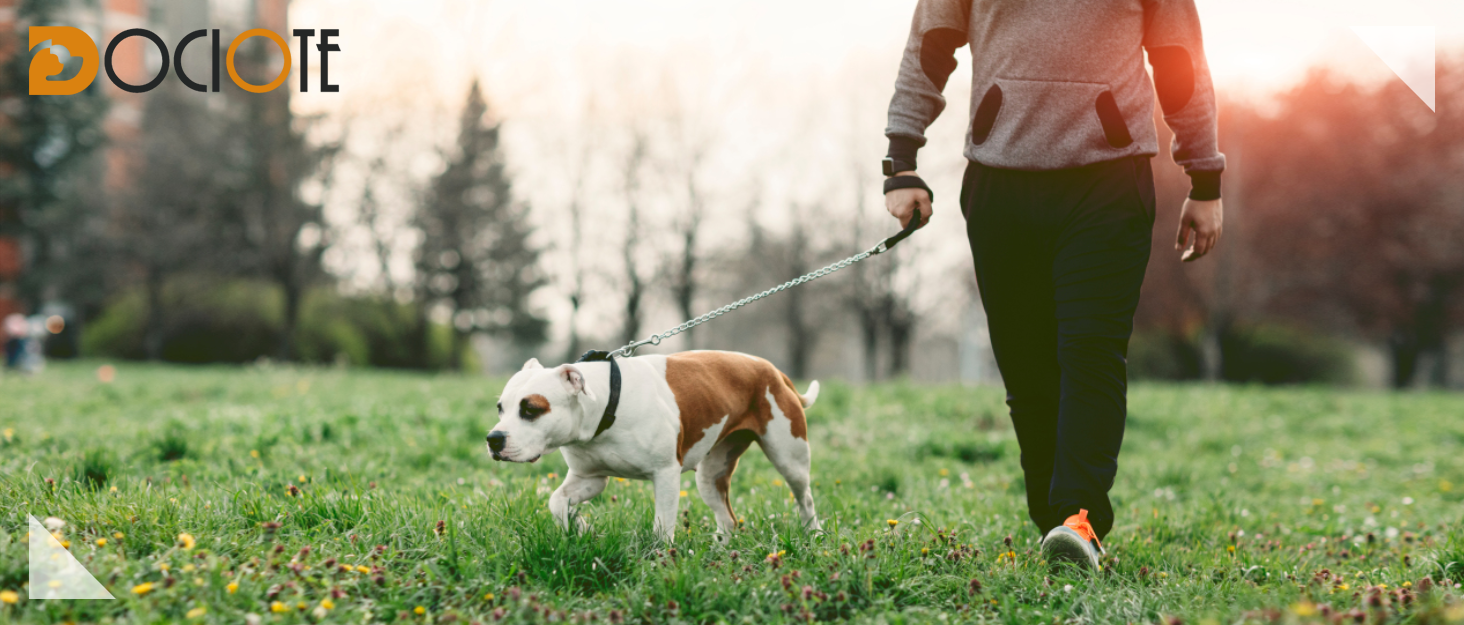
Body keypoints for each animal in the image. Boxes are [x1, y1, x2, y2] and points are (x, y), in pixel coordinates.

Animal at [486, 352, 819, 544]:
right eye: (500, 408)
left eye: (531, 409)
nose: (493, 438)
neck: (607, 403)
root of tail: (772, 369)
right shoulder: (589, 478)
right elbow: (557, 502)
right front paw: (580, 529)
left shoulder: (666, 475)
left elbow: (662, 527)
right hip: (710, 475)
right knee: (728, 519)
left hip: (790, 458)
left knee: (805, 499)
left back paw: (813, 535)